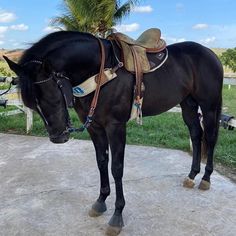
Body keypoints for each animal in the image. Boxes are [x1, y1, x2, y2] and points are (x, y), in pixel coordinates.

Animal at [5, 31, 223, 236]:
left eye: (52, 97)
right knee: (196, 135)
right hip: (188, 104)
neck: (100, 71)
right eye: (32, 104)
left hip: (209, 106)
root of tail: (210, 53)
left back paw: (205, 179)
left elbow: (116, 168)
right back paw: (192, 175)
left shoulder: (115, 126)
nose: (59, 137)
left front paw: (117, 216)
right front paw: (100, 201)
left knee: (210, 138)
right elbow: (102, 162)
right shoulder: (95, 127)